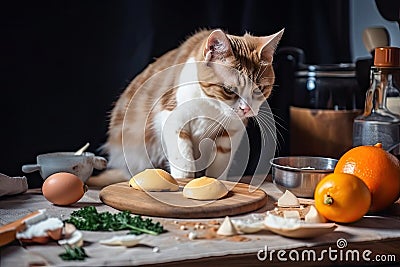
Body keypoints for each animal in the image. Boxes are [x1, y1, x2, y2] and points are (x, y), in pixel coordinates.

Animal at [89, 28, 282, 186]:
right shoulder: (172, 118)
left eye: (259, 89)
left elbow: (220, 162)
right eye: (229, 90)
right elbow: (184, 161)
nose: (246, 109)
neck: (212, 107)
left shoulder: (232, 131)